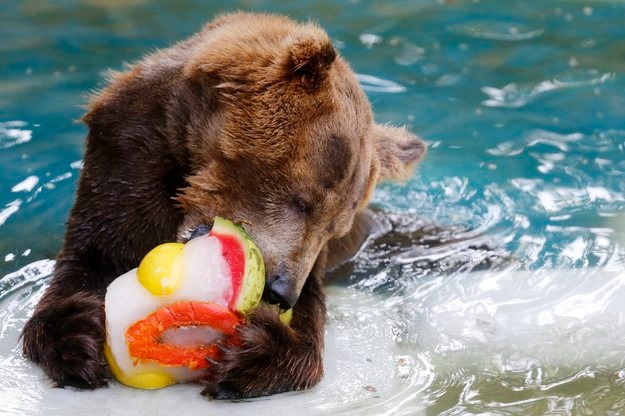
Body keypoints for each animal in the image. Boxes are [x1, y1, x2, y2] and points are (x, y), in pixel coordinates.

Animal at [23, 12, 424, 396]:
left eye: (333, 229)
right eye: (303, 202)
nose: (281, 292)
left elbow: (307, 322)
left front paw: (254, 351)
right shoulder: (125, 159)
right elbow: (90, 256)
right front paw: (77, 337)